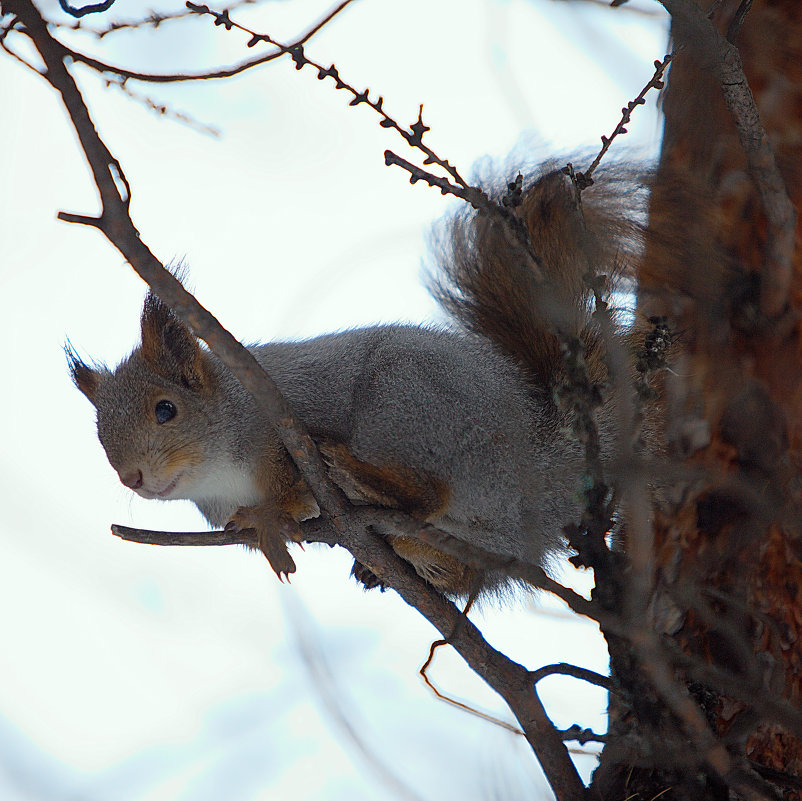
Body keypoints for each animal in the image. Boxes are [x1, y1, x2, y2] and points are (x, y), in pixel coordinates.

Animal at [67, 167, 656, 592]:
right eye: (98, 435)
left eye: (166, 409)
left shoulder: (282, 419)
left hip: (407, 402)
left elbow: (290, 489)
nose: (132, 478)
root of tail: (545, 466)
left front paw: (274, 515)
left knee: (428, 494)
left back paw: (359, 476)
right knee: (460, 569)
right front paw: (266, 536)